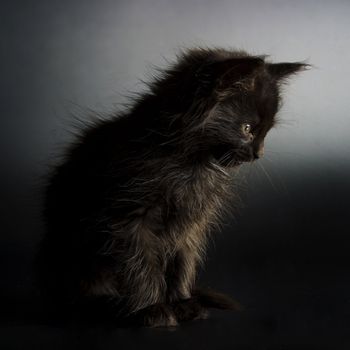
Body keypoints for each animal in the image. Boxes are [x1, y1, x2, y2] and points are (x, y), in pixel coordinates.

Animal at [37, 47, 308, 326]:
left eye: (266, 132)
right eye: (247, 129)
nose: (258, 154)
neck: (191, 166)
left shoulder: (191, 225)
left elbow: (182, 264)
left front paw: (182, 303)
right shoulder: (128, 221)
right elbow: (142, 266)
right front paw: (153, 309)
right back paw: (103, 304)